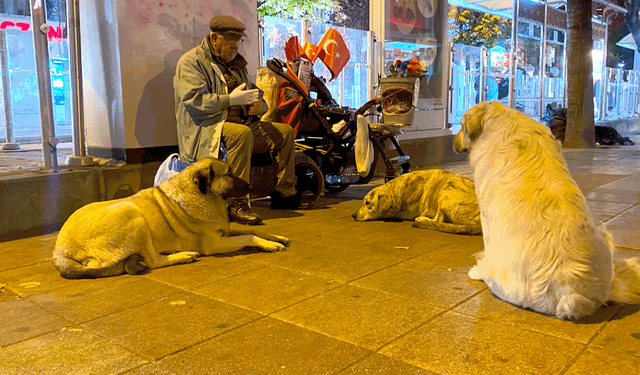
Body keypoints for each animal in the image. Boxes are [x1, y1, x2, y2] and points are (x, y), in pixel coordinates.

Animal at [53, 156, 288, 280]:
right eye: (228, 174)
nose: (250, 186)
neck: (202, 194)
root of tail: (59, 251)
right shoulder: (214, 243)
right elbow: (249, 237)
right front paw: (270, 245)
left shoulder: (224, 232)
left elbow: (253, 230)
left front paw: (275, 237)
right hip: (131, 212)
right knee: (153, 261)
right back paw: (183, 255)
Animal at [352, 170, 482, 235]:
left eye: (367, 203)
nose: (353, 215)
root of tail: (479, 221)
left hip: (448, 186)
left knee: (438, 220)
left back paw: (422, 219)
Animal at [456, 100, 640, 320]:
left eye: (461, 125)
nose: (454, 144)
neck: (504, 118)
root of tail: (572, 294)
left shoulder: (486, 217)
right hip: (605, 236)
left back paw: (479, 271)